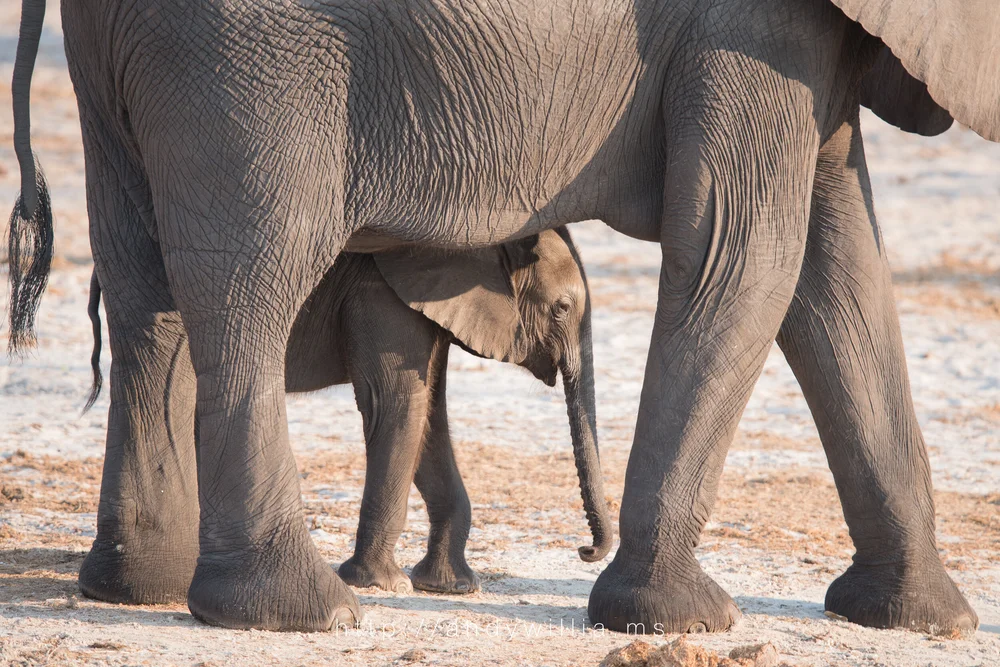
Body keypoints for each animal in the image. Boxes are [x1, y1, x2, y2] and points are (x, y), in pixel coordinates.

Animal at [81, 227, 612, 596]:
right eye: (562, 309)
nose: (586, 550)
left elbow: (429, 415)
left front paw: (452, 587)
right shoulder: (379, 296)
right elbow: (397, 406)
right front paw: (380, 585)